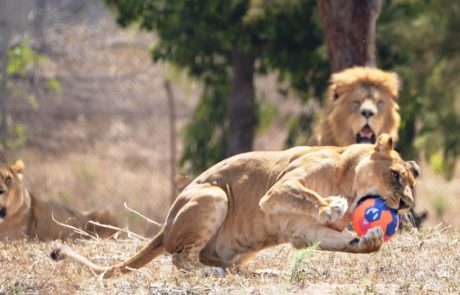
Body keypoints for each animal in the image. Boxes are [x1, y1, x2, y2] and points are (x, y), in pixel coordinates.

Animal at [51, 135, 420, 278]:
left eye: (411, 188)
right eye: (395, 176)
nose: (404, 205)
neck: (348, 176)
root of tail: (164, 227)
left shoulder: (302, 232)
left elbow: (349, 244)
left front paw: (371, 239)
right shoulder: (277, 190)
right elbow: (307, 196)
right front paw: (331, 205)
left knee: (222, 264)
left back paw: (263, 273)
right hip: (215, 195)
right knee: (181, 259)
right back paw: (208, 273)